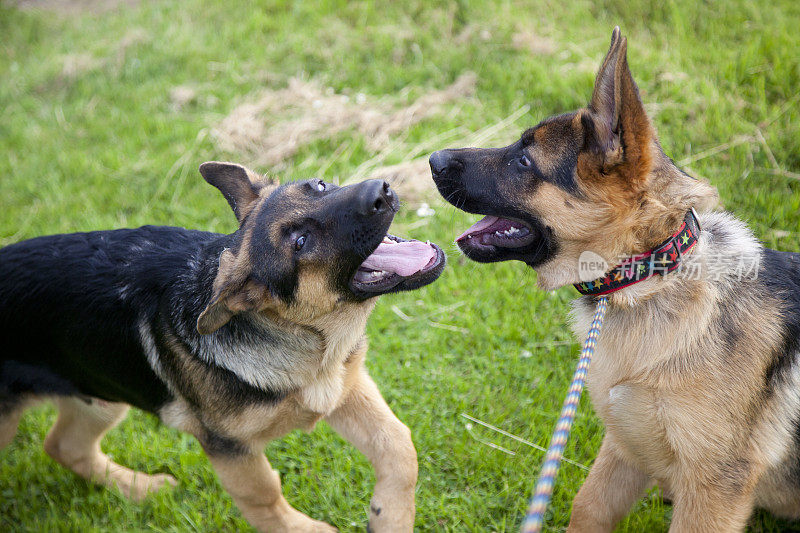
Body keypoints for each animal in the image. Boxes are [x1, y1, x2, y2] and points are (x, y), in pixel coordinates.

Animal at [0, 162, 444, 532]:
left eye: (319, 184)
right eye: (300, 242)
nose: (380, 188)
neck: (301, 336)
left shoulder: (344, 389)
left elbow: (398, 444)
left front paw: (390, 515)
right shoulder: (230, 448)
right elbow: (264, 496)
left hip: (102, 392)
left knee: (64, 446)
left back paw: (140, 489)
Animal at [434, 27, 800, 532]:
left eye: (524, 161)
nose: (432, 159)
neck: (647, 277)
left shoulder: (713, 489)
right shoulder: (625, 446)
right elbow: (587, 506)